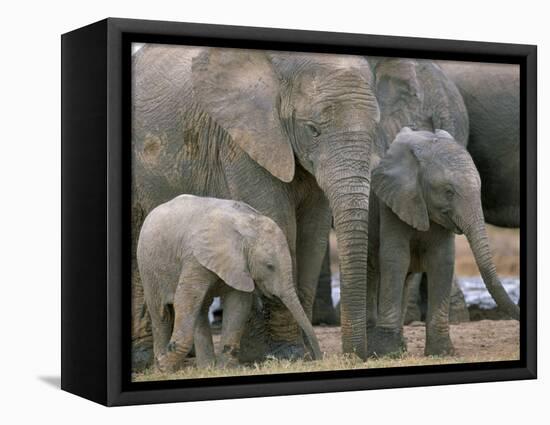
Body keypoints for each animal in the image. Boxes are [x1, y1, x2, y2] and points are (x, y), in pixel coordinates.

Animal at [137, 194, 324, 370]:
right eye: (269, 266)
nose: (318, 358)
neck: (246, 227)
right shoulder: (195, 258)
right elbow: (184, 299)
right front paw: (163, 365)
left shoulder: (241, 264)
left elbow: (238, 304)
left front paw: (225, 368)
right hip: (148, 266)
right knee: (161, 313)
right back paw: (165, 368)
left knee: (200, 308)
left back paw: (205, 367)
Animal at [368, 127, 520, 356]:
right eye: (449, 192)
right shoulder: (393, 201)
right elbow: (396, 258)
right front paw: (385, 353)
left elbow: (442, 261)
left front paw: (442, 352)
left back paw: (400, 348)